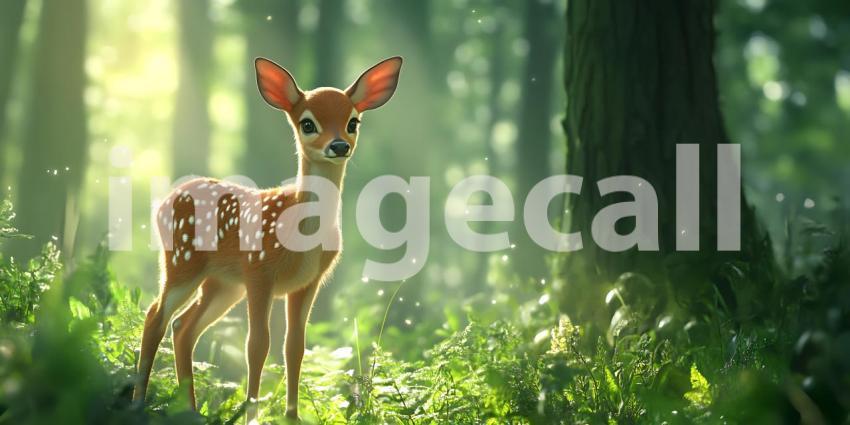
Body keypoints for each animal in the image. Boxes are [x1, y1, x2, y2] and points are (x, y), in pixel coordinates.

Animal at [132, 56, 403, 421]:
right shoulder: (259, 271)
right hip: (182, 263)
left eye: (353, 121)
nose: (339, 146)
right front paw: (252, 416)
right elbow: (257, 345)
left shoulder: (308, 282)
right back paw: (138, 403)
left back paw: (189, 411)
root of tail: (164, 201)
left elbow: (295, 346)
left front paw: (292, 416)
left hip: (222, 284)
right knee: (155, 316)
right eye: (307, 123)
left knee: (183, 327)